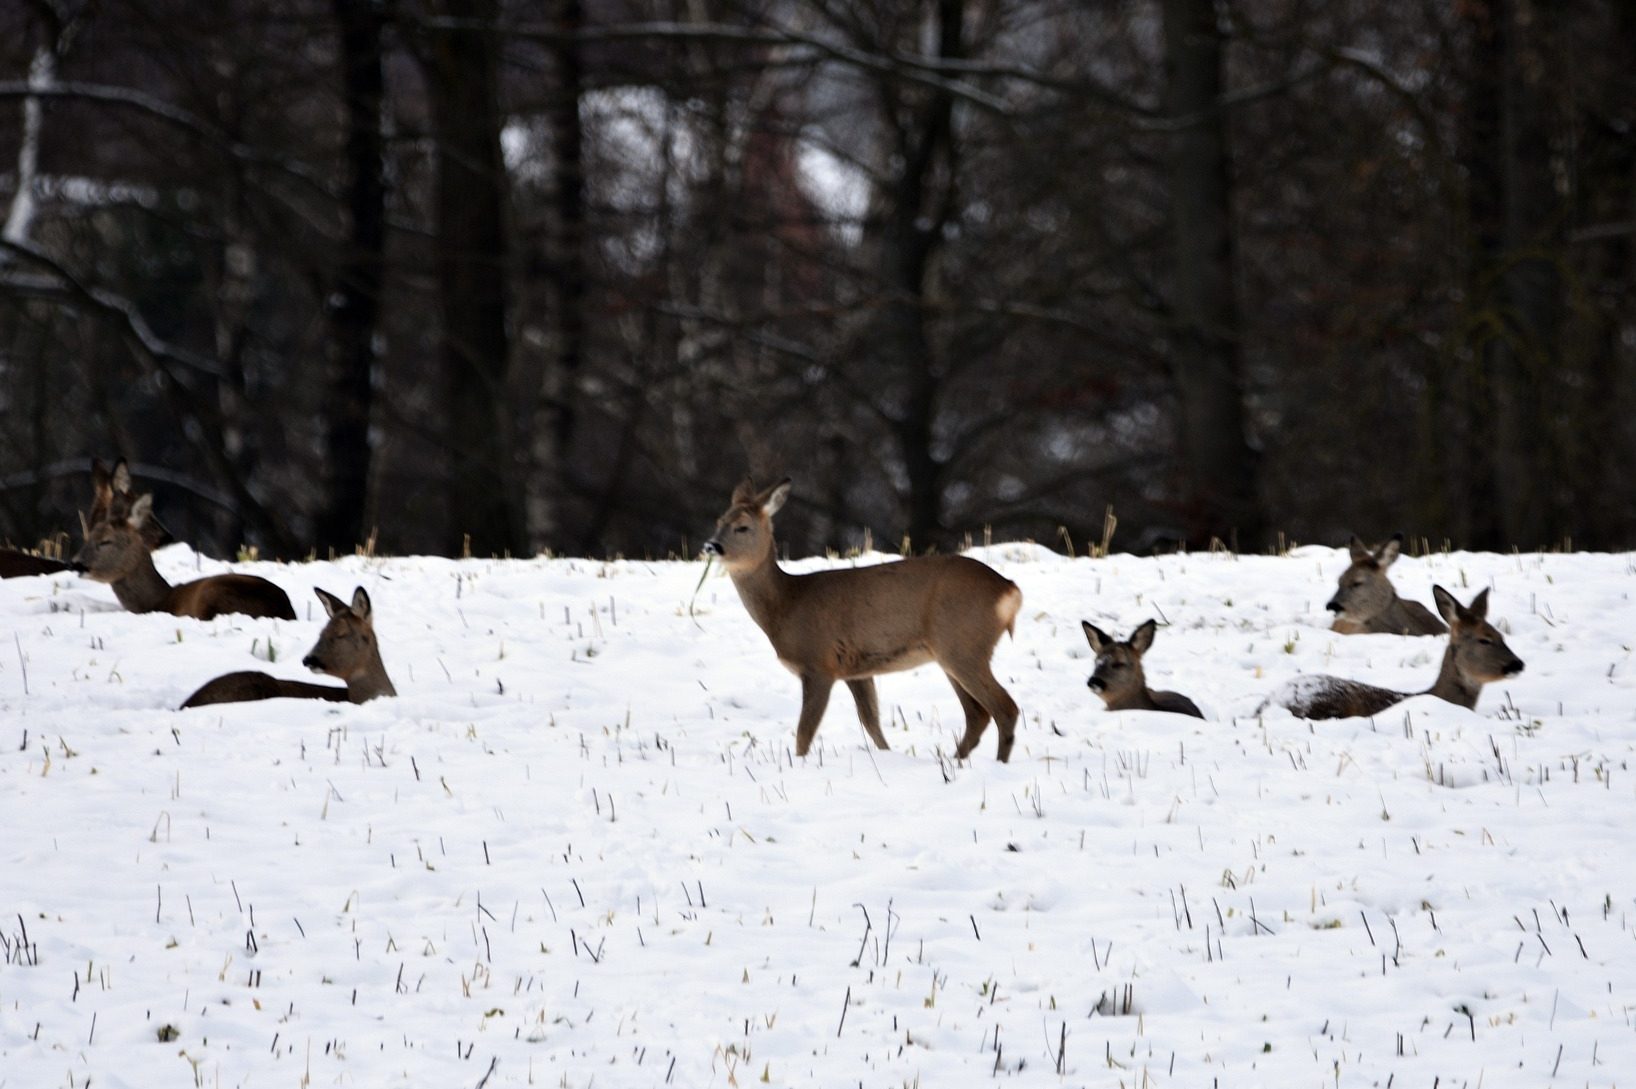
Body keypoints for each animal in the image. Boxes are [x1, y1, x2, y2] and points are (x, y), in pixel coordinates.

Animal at [73, 484, 296, 618]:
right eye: (88, 537)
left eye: (105, 541)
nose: (75, 563)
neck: (156, 602)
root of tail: (283, 609)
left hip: (213, 595)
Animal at [703, 474, 1020, 761]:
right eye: (719, 521)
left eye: (742, 527)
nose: (711, 546)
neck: (787, 605)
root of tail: (1009, 590)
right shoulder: (857, 670)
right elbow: (871, 723)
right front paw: (887, 755)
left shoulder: (819, 664)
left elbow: (804, 733)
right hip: (951, 652)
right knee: (977, 714)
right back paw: (956, 761)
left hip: (962, 644)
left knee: (1004, 708)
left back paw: (995, 763)